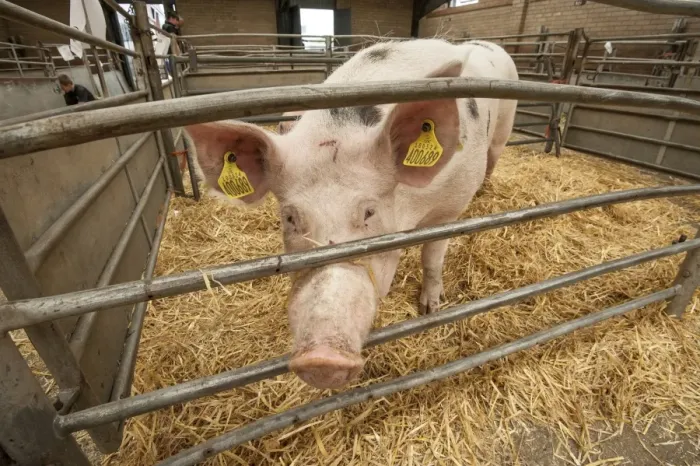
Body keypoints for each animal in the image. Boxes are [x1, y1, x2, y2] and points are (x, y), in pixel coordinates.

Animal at [184, 38, 518, 390]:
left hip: (503, 129)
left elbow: (432, 258)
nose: (321, 358)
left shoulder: (450, 207)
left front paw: (429, 309)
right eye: (290, 218)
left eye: (369, 211)